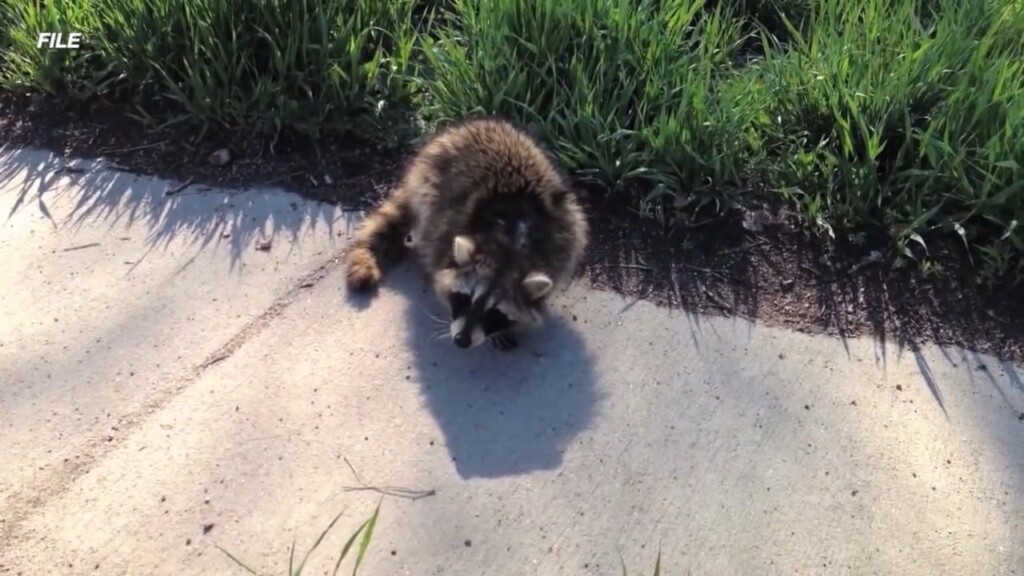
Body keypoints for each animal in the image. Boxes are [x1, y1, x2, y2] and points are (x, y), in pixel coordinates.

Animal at [344, 116, 589, 351]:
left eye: (494, 313)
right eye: (465, 298)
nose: (461, 341)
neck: (506, 247)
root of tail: (481, 122)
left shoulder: (557, 245)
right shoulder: (444, 233)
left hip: (569, 209)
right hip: (431, 179)